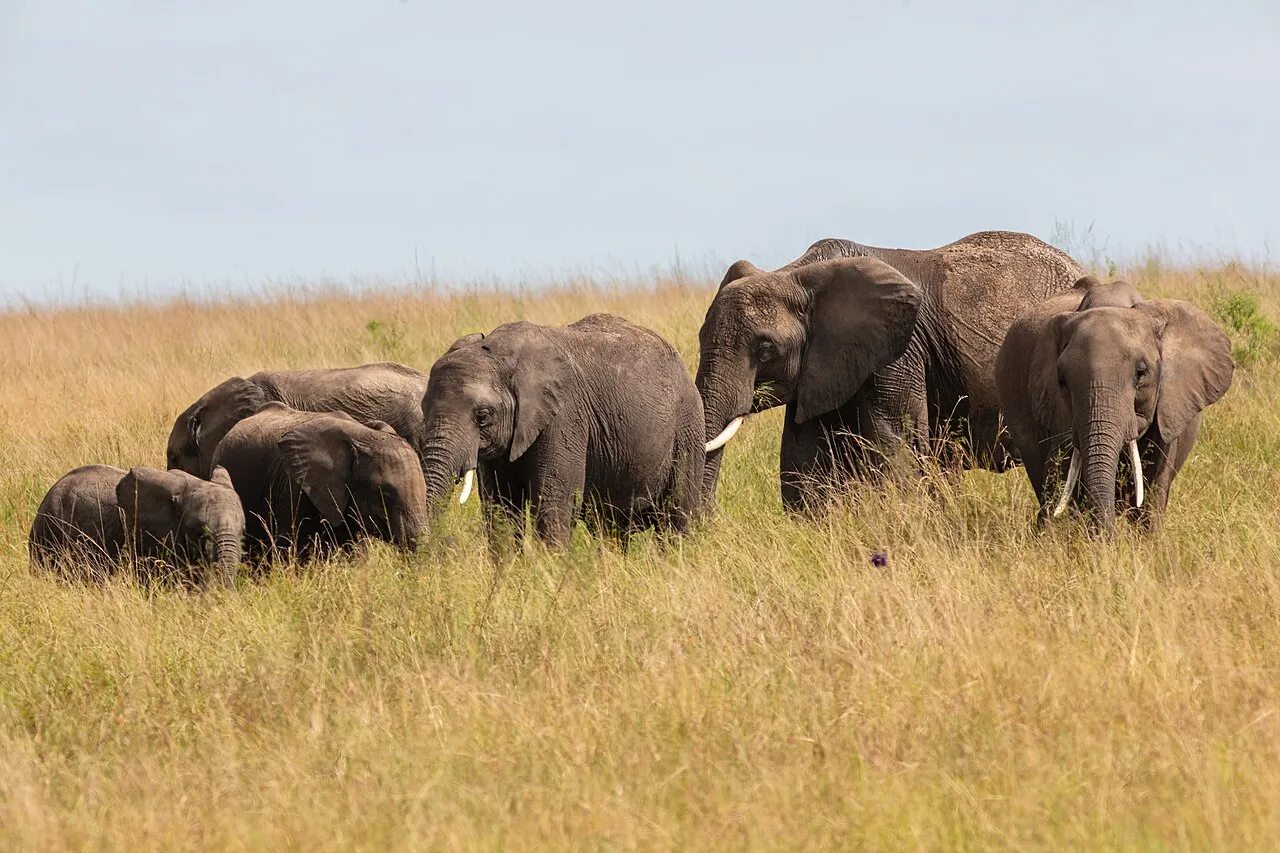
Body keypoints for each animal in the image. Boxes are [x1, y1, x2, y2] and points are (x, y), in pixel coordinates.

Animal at [420, 313, 704, 548]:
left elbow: (554, 504)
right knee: (610, 527)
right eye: (423, 409)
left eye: (482, 416)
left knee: (677, 513)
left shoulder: (565, 417)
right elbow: (502, 509)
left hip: (687, 425)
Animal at [695, 231, 1086, 510]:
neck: (796, 274)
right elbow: (804, 464)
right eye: (699, 338)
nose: (707, 523)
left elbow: (898, 446)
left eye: (765, 350)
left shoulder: (898, 353)